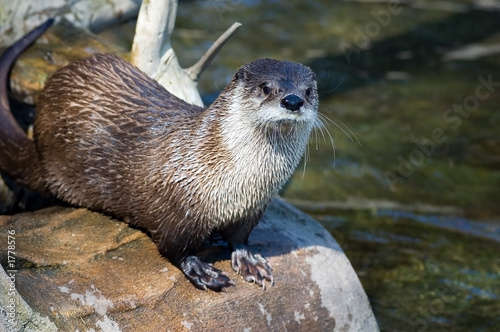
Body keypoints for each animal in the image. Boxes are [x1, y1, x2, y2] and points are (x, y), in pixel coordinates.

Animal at [0, 20, 318, 290]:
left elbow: (240, 238)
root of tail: (39, 149)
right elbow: (174, 248)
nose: (293, 100)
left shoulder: (253, 208)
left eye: (309, 91)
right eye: (266, 88)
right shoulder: (177, 207)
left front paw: (249, 260)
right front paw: (201, 270)